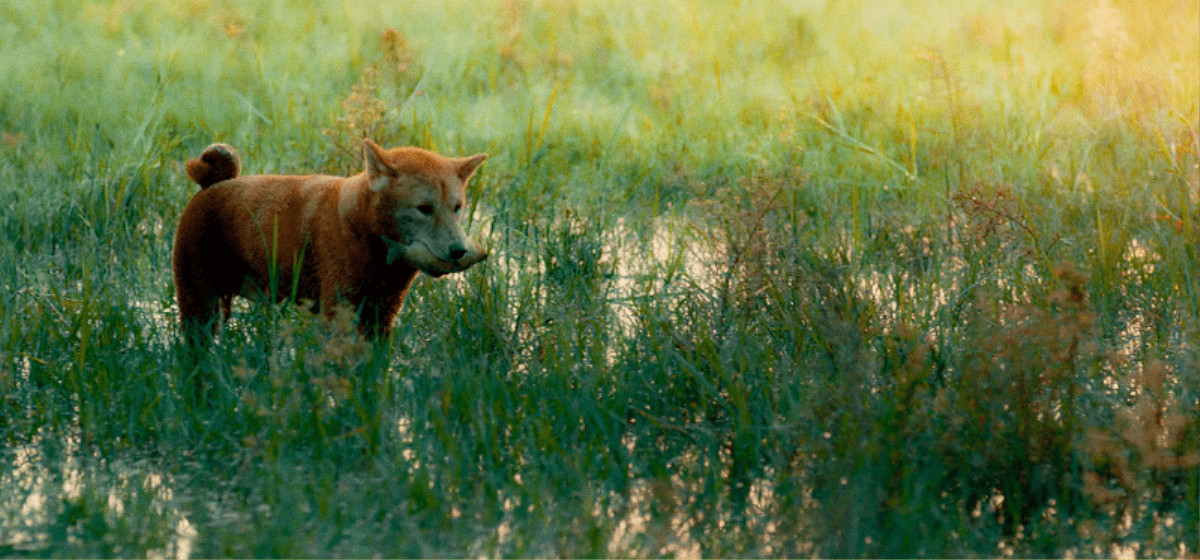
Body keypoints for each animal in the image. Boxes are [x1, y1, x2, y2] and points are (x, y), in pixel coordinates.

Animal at [172, 137, 487, 345]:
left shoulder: (382, 317)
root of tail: (212, 186)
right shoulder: (339, 313)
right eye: (424, 208)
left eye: (457, 207)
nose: (459, 250)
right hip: (200, 308)